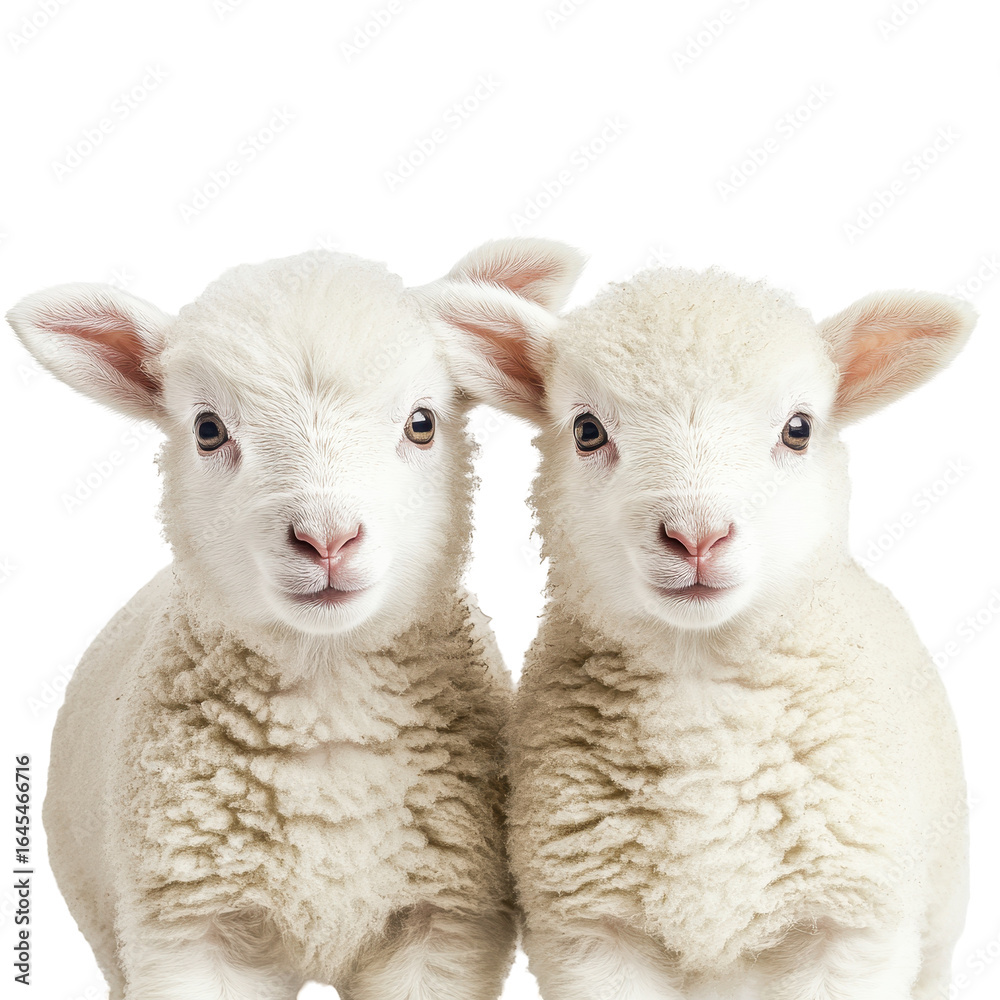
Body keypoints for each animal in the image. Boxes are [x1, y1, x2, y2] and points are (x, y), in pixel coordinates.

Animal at [7, 239, 582, 1000]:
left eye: (422, 423)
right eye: (208, 430)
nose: (327, 539)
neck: (326, 697)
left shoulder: (441, 925)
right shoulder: (190, 928)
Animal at [436, 257, 975, 1000]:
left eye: (799, 428)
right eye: (587, 430)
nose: (696, 535)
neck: (701, 687)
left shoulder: (850, 925)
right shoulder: (592, 932)